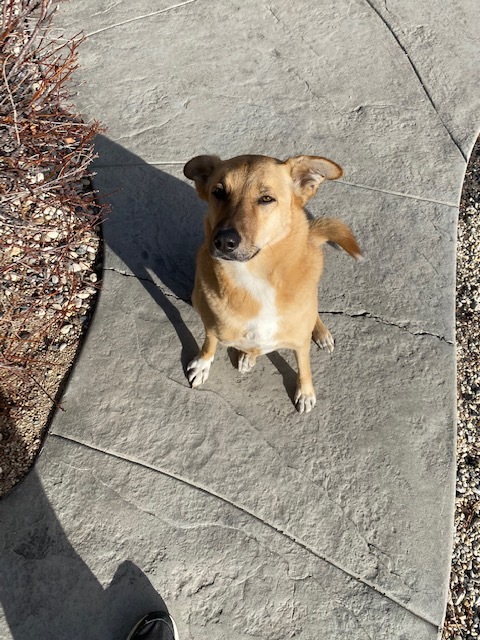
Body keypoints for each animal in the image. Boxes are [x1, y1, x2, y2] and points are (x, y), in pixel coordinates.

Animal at [183, 155, 360, 416]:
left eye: (266, 199)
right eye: (218, 192)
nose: (224, 241)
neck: (256, 278)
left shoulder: (300, 343)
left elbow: (304, 365)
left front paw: (305, 391)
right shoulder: (212, 324)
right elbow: (209, 342)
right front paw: (203, 363)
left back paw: (321, 333)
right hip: (196, 296)